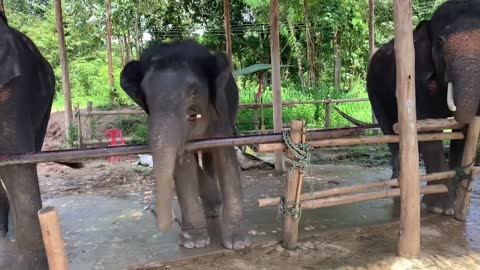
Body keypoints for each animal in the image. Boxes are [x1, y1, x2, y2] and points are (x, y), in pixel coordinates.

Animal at [120, 39, 251, 249]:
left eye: (193, 91)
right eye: (145, 95)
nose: (153, 212)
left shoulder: (220, 111)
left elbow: (225, 158)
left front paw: (238, 243)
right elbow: (182, 164)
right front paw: (194, 243)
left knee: (209, 156)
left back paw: (213, 208)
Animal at [368, 0, 480, 215]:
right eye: (440, 43)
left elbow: (463, 133)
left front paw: (452, 204)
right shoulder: (418, 74)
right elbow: (429, 129)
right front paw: (439, 209)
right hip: (373, 89)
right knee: (390, 133)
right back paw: (397, 192)